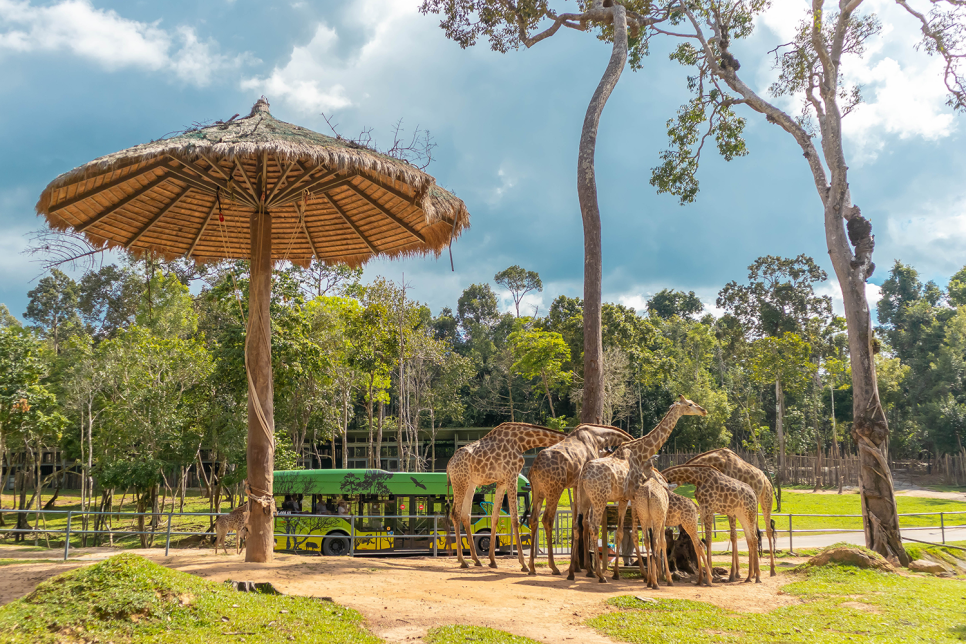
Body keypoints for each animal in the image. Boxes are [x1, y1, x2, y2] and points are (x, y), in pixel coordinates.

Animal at [448, 422, 568, 568]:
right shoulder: (512, 475)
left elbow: (495, 517)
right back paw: (463, 560)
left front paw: (492, 560)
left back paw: (476, 560)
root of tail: (449, 464)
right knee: (455, 513)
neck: (522, 442)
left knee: (465, 515)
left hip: (471, 483)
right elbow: (515, 519)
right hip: (460, 482)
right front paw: (524, 564)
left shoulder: (502, 481)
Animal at [528, 426, 636, 576]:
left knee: (533, 519)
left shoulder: (575, 485)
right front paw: (588, 569)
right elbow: (585, 522)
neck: (598, 438)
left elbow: (576, 519)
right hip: (554, 490)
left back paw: (531, 567)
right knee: (547, 519)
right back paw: (553, 567)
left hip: (537, 491)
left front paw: (577, 567)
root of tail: (534, 468)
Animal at [568, 394, 712, 580]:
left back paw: (574, 573)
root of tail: (583, 474)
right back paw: (600, 575)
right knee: (593, 527)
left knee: (577, 526)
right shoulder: (634, 495)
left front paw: (618, 573)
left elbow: (621, 533)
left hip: (583, 497)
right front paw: (645, 574)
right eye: (690, 404)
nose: (703, 410)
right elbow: (638, 535)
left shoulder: (624, 498)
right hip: (599, 499)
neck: (638, 453)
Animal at [688, 448, 780, 580]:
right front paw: (737, 572)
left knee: (767, 530)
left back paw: (772, 570)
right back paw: (753, 573)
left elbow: (733, 536)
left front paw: (733, 573)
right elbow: (735, 535)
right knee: (753, 535)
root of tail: (766, 479)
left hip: (766, 499)